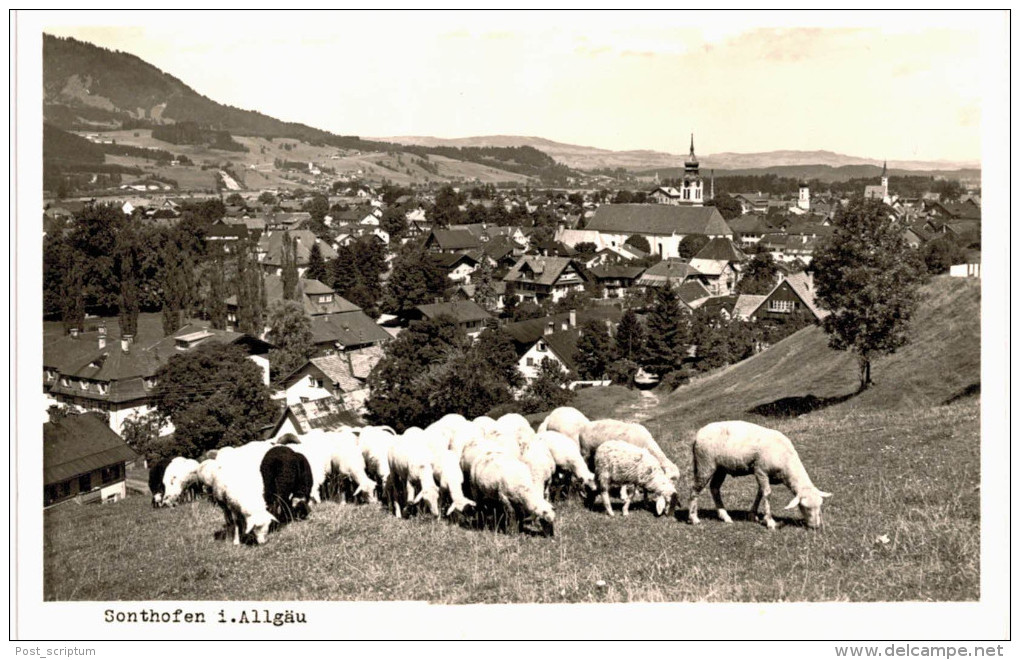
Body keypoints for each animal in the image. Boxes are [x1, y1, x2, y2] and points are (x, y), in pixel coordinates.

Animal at [689, 424, 832, 530]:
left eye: (820, 506)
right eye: (804, 507)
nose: (816, 526)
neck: (786, 459)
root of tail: (698, 434)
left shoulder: (764, 475)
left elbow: (760, 493)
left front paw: (753, 515)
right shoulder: (761, 471)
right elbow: (767, 494)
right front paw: (770, 521)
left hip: (720, 468)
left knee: (714, 488)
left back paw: (725, 516)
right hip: (705, 464)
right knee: (695, 490)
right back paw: (694, 518)